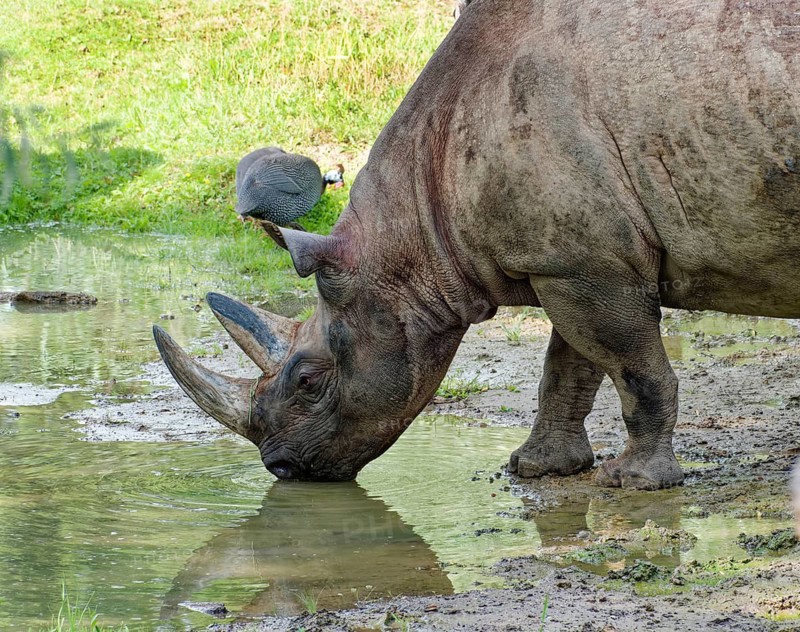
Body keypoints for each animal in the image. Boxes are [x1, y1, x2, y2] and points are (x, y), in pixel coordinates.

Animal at [154, 0, 800, 490]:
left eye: (309, 382)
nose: (282, 469)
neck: (414, 227)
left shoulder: (585, 265)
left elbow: (631, 368)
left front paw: (635, 481)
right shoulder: (570, 256)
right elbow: (568, 365)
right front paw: (538, 468)